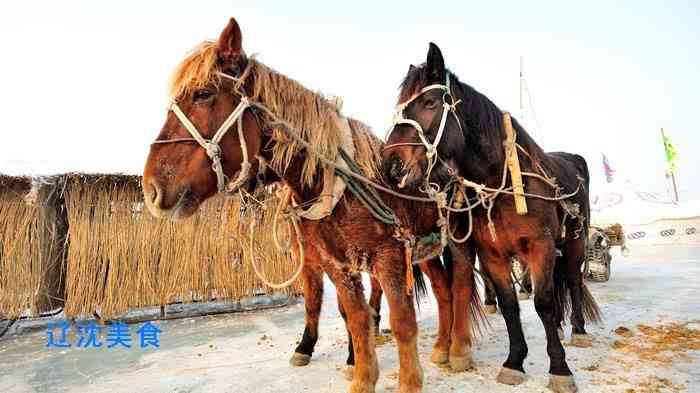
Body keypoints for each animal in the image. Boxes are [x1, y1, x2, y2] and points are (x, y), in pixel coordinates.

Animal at [142, 19, 482, 392]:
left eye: (203, 94)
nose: (152, 187)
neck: (337, 188)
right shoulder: (334, 262)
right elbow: (354, 317)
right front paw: (359, 373)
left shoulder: (389, 258)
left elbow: (403, 322)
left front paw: (407, 382)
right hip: (427, 250)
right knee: (443, 292)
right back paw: (442, 347)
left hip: (457, 241)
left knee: (461, 285)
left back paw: (459, 349)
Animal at [382, 43, 600, 392]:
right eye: (400, 108)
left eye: (429, 103)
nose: (391, 163)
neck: (503, 183)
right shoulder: (492, 254)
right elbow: (510, 305)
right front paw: (514, 362)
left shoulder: (540, 247)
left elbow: (544, 304)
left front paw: (559, 368)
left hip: (575, 244)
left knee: (573, 281)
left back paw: (578, 330)